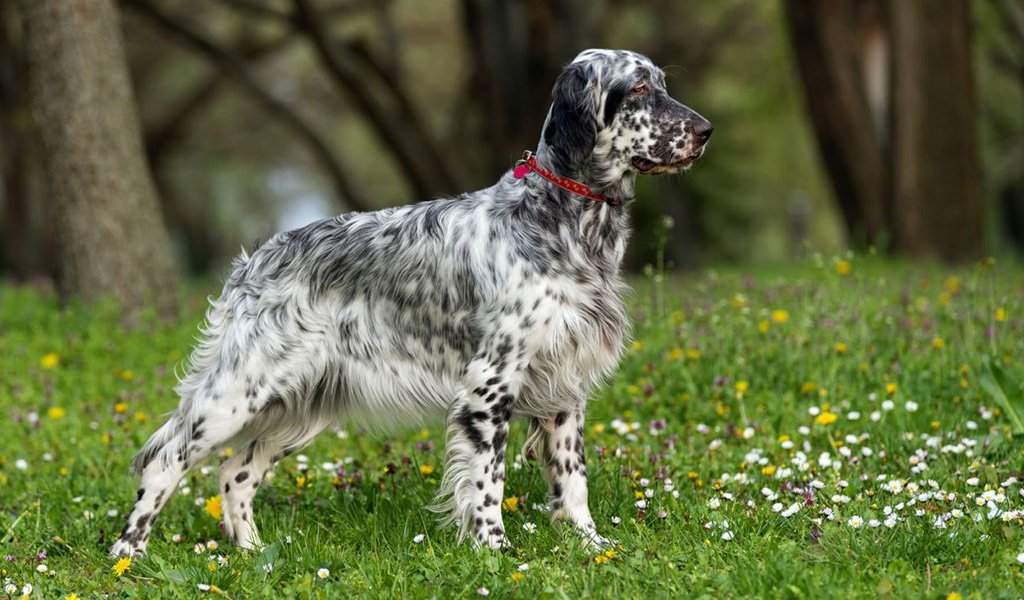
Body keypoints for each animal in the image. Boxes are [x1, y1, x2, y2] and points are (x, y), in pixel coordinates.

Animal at [108, 47, 708, 556]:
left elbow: (572, 481)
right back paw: (127, 554)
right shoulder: (489, 385)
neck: (559, 219)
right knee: (165, 460)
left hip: (300, 407)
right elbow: (487, 482)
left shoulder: (565, 388)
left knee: (235, 475)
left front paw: (591, 546)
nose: (706, 131)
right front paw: (494, 552)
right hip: (237, 394)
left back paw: (253, 554)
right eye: (637, 88)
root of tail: (256, 258)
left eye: (662, 84)